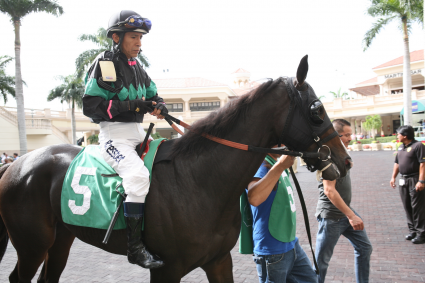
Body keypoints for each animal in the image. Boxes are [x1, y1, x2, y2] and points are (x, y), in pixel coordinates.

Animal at [0, 58, 352, 283]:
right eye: (317, 110)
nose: (344, 160)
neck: (199, 182)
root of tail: (15, 164)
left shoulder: (219, 261)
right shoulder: (165, 270)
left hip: (60, 240)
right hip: (31, 245)